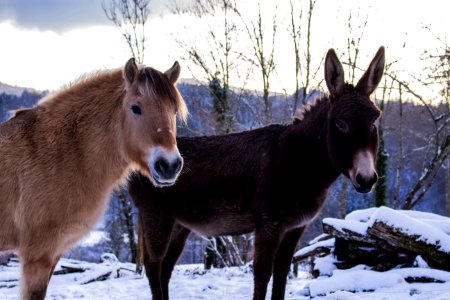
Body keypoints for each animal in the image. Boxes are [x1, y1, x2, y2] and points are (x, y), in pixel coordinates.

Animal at [0, 57, 187, 298]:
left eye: (173, 111)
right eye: (135, 108)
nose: (169, 165)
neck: (60, 154)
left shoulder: (53, 255)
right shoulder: (38, 257)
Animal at [128, 46, 384, 300]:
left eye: (375, 120)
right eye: (340, 123)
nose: (366, 178)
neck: (299, 163)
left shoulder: (295, 228)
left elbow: (281, 274)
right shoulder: (268, 224)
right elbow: (262, 275)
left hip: (179, 224)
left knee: (165, 269)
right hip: (156, 215)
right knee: (153, 266)